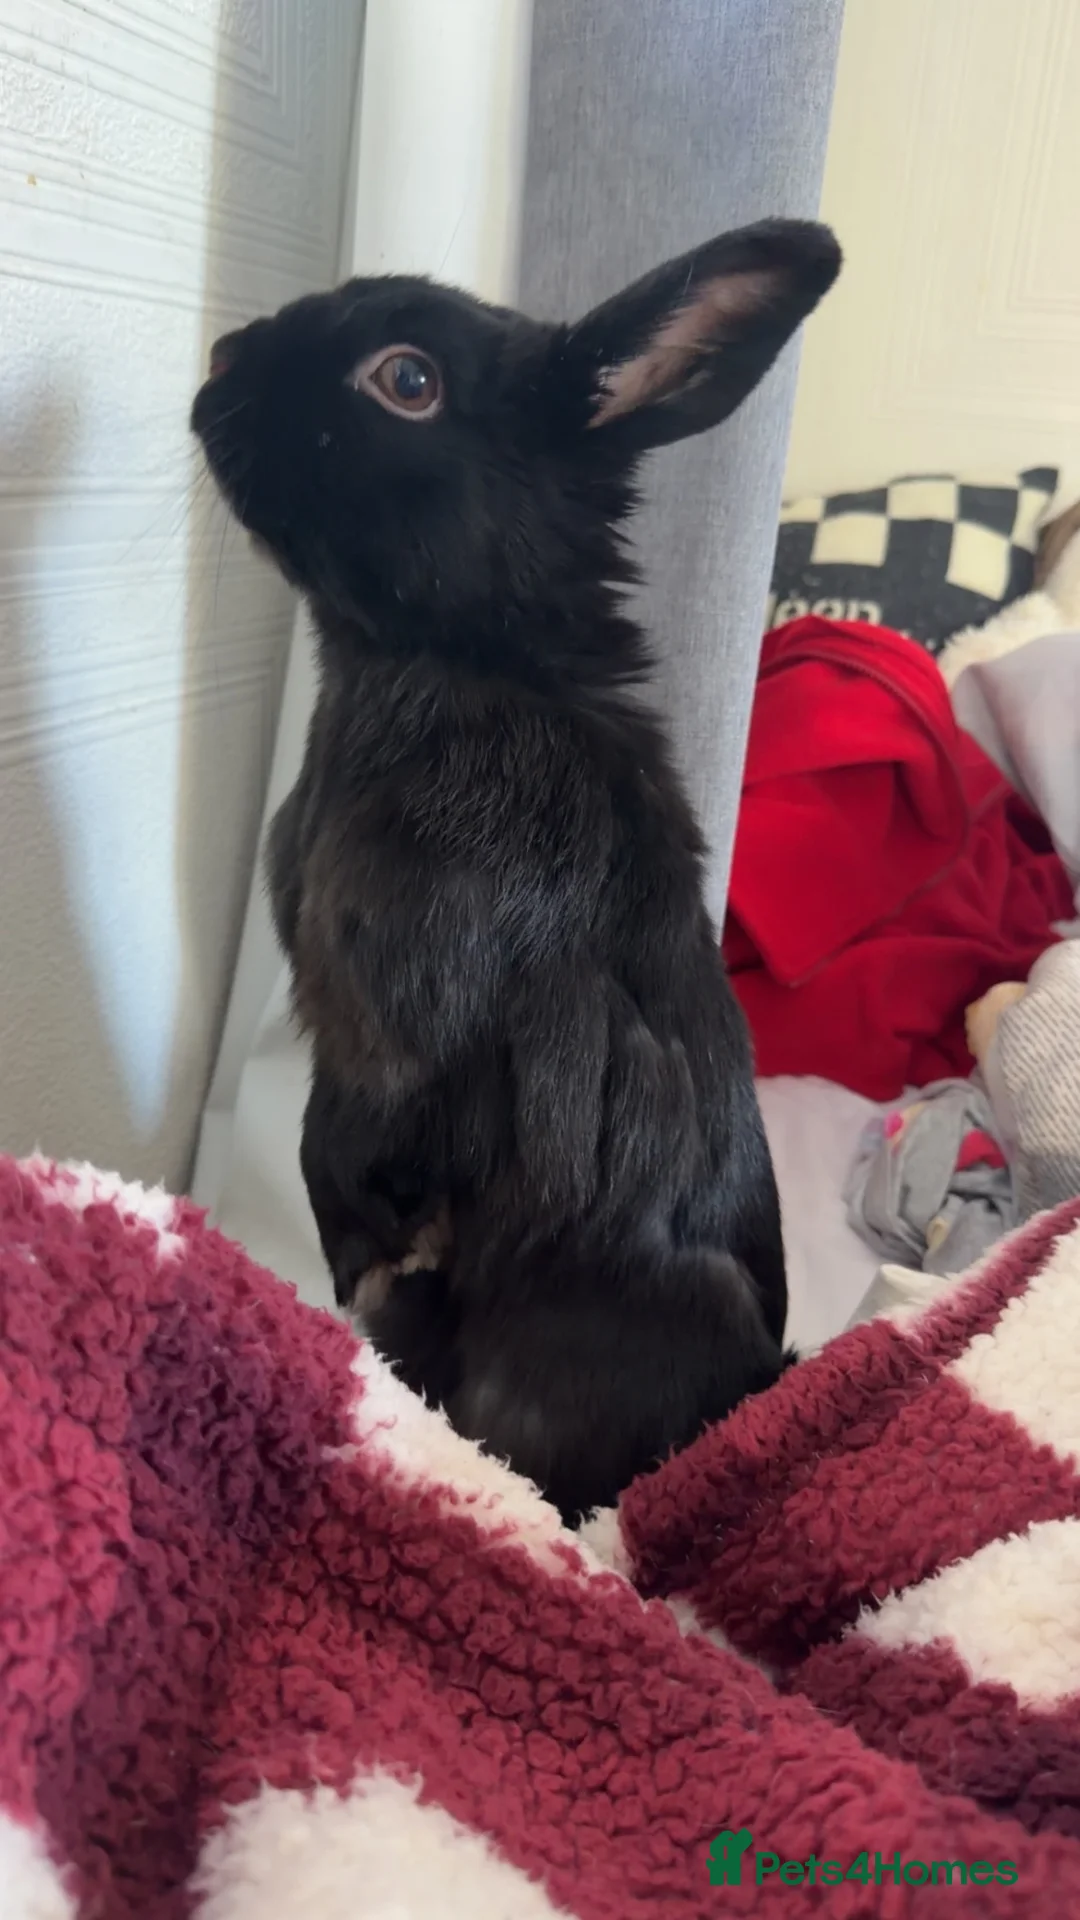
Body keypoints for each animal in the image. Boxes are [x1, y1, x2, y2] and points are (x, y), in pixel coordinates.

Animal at [191, 217, 841, 1524]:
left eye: (408, 380)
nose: (224, 357)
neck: (465, 659)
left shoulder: (389, 1044)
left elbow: (346, 1148)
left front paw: (370, 1268)